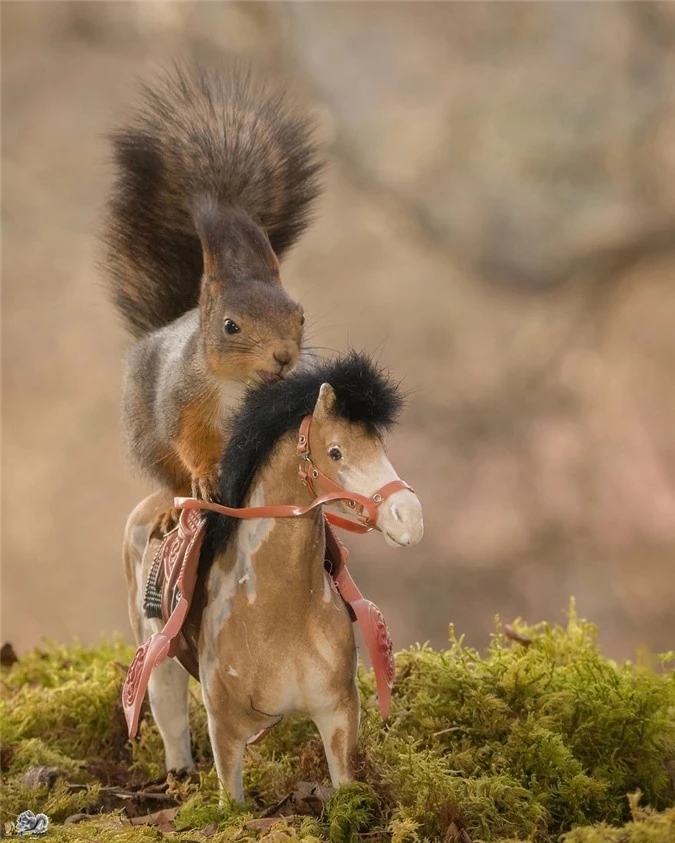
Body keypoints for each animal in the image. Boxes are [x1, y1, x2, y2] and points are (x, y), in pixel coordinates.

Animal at [103, 66, 322, 504]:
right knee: (171, 477)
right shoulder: (185, 404)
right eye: (230, 326)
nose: (283, 356)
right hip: (148, 440)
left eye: (301, 317)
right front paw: (206, 477)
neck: (239, 385)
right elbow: (194, 444)